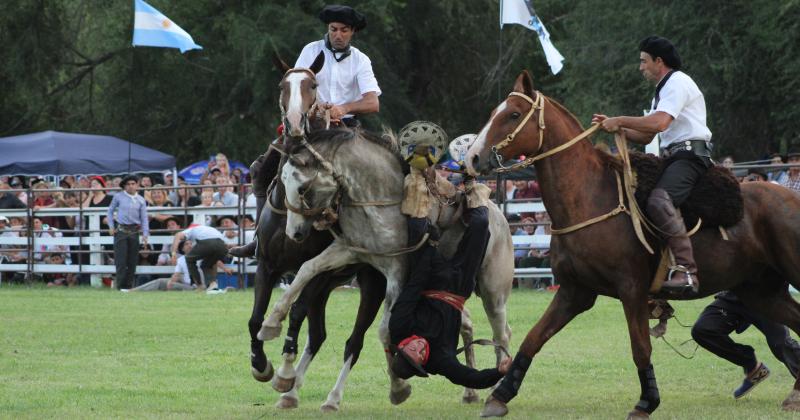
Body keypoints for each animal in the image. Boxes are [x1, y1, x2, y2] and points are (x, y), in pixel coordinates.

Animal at [466, 69, 800, 416]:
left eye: (514, 114)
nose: (473, 157)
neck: (589, 198)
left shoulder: (631, 290)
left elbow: (640, 347)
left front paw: (646, 401)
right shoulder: (575, 292)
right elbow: (533, 338)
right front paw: (499, 395)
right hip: (761, 291)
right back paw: (794, 393)